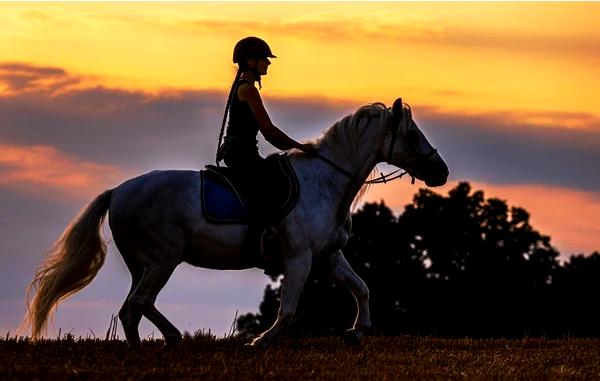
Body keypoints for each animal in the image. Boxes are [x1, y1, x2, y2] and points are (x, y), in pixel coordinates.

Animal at [22, 96, 446, 346]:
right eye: (411, 135)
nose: (440, 172)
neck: (326, 181)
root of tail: (118, 191)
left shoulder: (326, 256)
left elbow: (361, 287)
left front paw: (358, 332)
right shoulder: (299, 258)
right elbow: (288, 310)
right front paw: (259, 342)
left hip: (142, 263)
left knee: (136, 305)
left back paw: (173, 338)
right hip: (162, 259)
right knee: (135, 306)